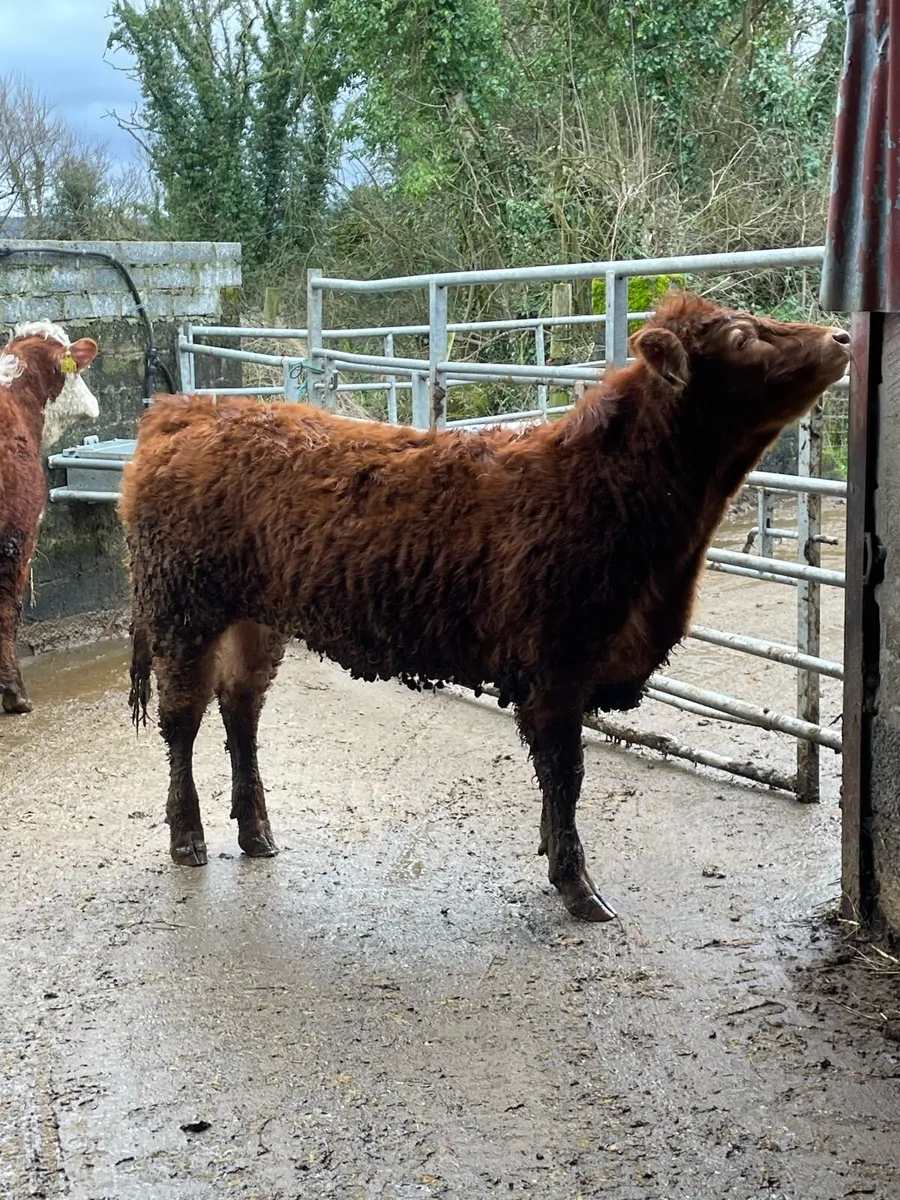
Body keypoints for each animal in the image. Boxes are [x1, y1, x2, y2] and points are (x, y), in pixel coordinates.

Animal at [119, 291, 850, 923]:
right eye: (741, 336)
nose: (842, 337)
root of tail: (185, 408)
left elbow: (558, 783)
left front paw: (556, 858)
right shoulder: (555, 668)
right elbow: (565, 776)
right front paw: (577, 886)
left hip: (254, 618)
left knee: (241, 710)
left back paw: (257, 832)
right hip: (181, 612)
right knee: (182, 721)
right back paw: (188, 838)